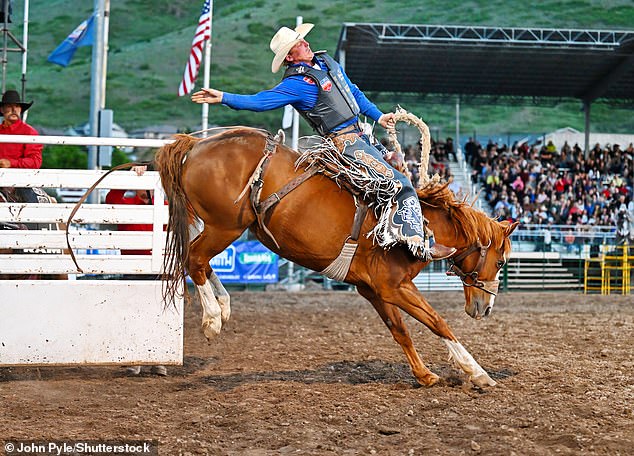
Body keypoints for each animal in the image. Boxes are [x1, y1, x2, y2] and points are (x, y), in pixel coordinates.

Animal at [156, 125, 516, 388]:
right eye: (500, 262)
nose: (485, 307)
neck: (420, 227)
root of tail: (196, 144)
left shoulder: (373, 289)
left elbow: (399, 330)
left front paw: (424, 374)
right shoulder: (394, 286)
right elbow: (437, 321)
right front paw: (476, 372)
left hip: (223, 228)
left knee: (199, 261)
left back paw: (224, 304)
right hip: (225, 226)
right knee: (194, 259)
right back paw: (212, 319)